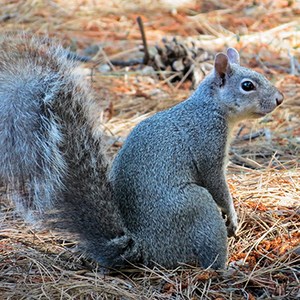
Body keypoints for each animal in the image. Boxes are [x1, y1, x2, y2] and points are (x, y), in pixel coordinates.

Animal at [0, 34, 284, 270]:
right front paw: (233, 217)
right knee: (209, 257)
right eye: (247, 85)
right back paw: (229, 268)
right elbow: (217, 185)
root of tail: (144, 249)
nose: (279, 99)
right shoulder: (207, 145)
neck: (210, 107)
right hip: (196, 206)